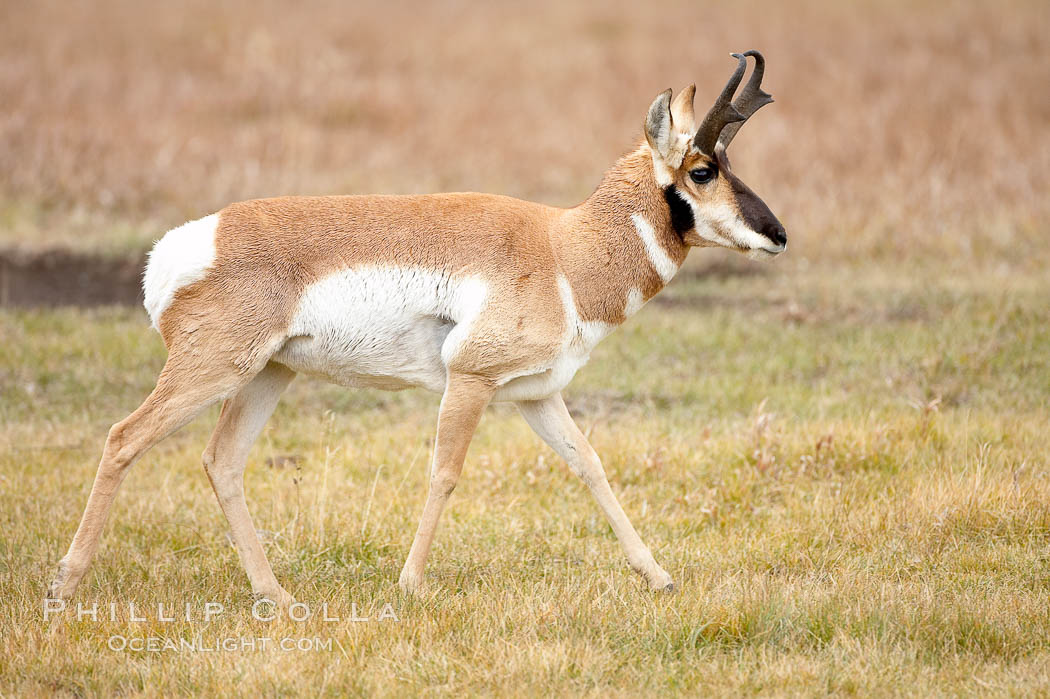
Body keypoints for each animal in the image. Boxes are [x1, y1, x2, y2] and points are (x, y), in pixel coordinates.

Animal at [48, 51, 785, 605]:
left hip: (267, 374)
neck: (561, 248)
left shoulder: (536, 394)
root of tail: (190, 241)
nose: (778, 235)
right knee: (124, 437)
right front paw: (410, 583)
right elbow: (445, 471)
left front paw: (658, 576)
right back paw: (65, 584)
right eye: (702, 169)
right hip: (213, 371)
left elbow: (589, 464)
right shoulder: (469, 381)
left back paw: (276, 595)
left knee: (221, 460)